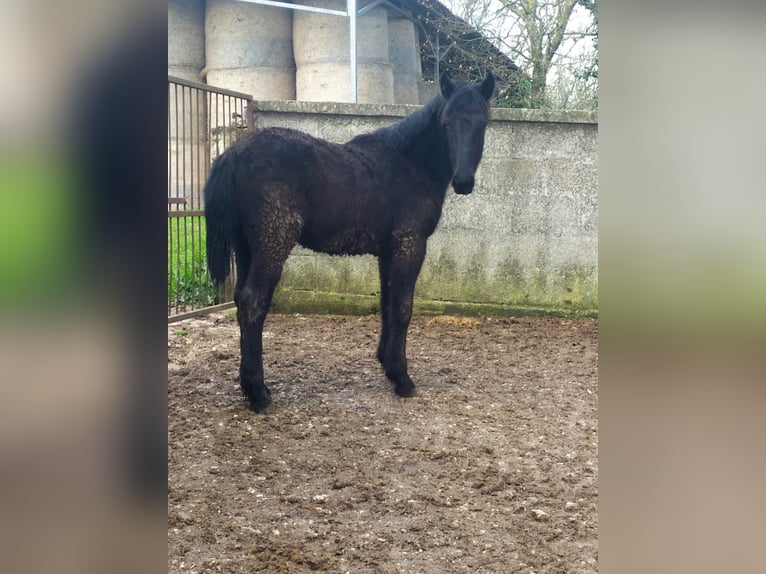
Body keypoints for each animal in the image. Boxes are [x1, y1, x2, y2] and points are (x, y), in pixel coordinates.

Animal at [205, 72, 495, 411]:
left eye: (483, 123)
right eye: (447, 123)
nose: (463, 182)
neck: (409, 164)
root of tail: (234, 153)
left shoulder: (388, 252)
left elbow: (387, 303)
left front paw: (386, 364)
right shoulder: (410, 245)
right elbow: (403, 307)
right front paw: (402, 378)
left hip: (245, 248)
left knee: (241, 299)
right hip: (272, 243)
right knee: (253, 301)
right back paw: (258, 393)